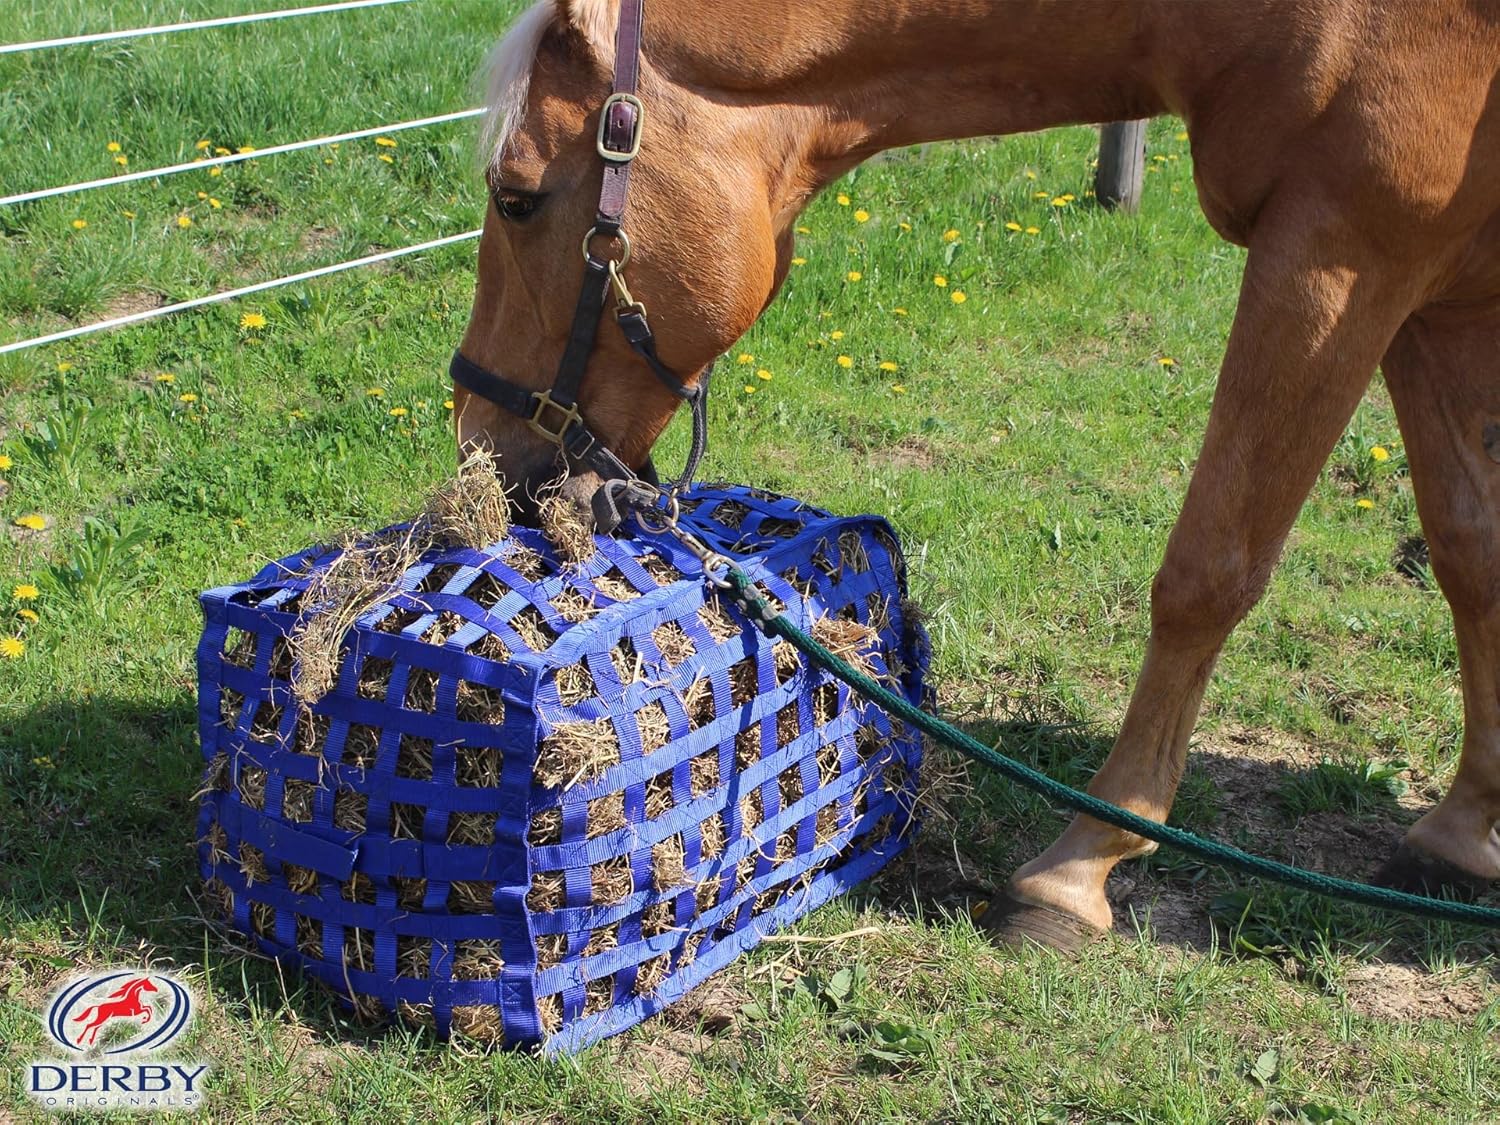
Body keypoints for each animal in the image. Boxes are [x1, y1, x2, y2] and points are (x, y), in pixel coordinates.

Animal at [451, 0, 1500, 949]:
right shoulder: (1440, 297)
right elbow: (1469, 555)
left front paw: (1081, 865)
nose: (480, 448)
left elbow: (1209, 572)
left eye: (516, 197)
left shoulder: (1343, 256)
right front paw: (1463, 832)